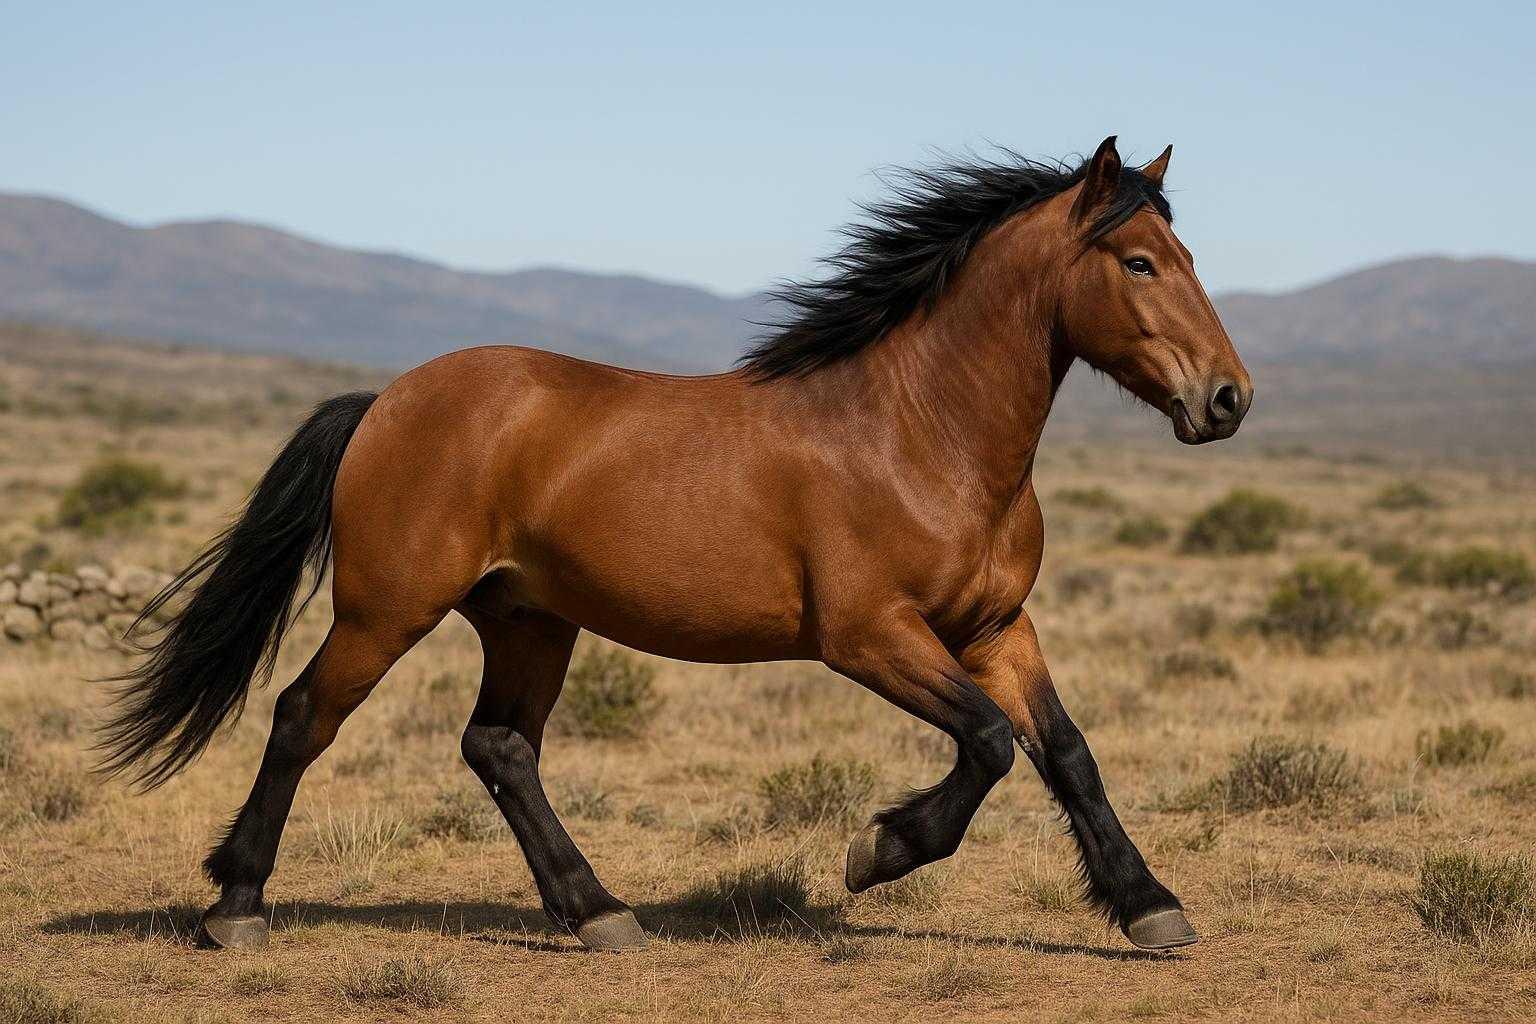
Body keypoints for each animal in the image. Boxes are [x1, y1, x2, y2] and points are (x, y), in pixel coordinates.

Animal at [99, 136, 1252, 954]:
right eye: (1141, 262)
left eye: (1189, 256)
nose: (1228, 398)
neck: (921, 432)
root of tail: (384, 400)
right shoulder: (870, 636)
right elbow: (989, 743)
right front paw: (875, 851)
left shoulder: (995, 628)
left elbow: (1067, 752)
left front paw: (1150, 906)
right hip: (388, 608)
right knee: (305, 716)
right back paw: (238, 906)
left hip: (528, 619)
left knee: (499, 747)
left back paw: (599, 912)